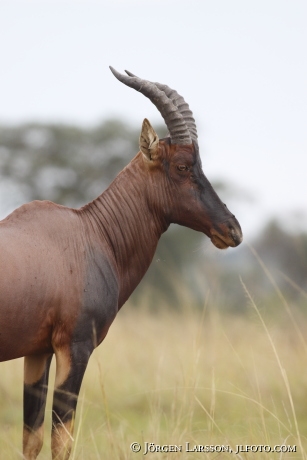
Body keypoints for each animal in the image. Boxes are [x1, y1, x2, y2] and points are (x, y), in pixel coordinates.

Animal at [0, 66, 243, 458]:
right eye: (182, 165)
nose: (232, 229)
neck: (90, 232)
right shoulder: (75, 348)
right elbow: (62, 440)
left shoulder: (37, 352)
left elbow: (31, 438)